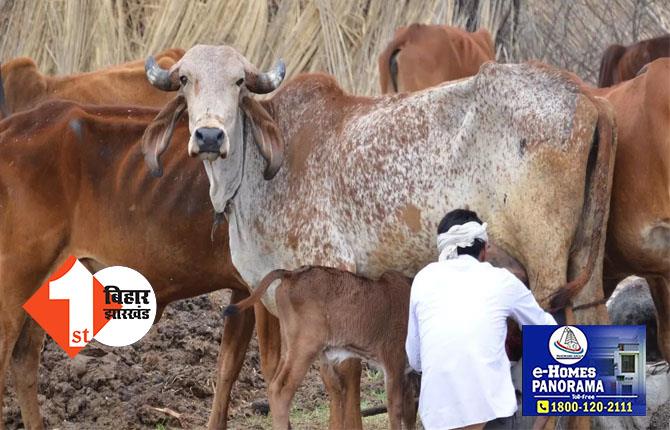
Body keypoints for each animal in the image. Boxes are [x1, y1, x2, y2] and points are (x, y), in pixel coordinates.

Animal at [226, 268, 420, 430]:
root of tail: (291, 274)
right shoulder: (394, 364)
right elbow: (395, 410)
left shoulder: (407, 373)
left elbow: (410, 410)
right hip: (305, 348)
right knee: (280, 390)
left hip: (289, 347)